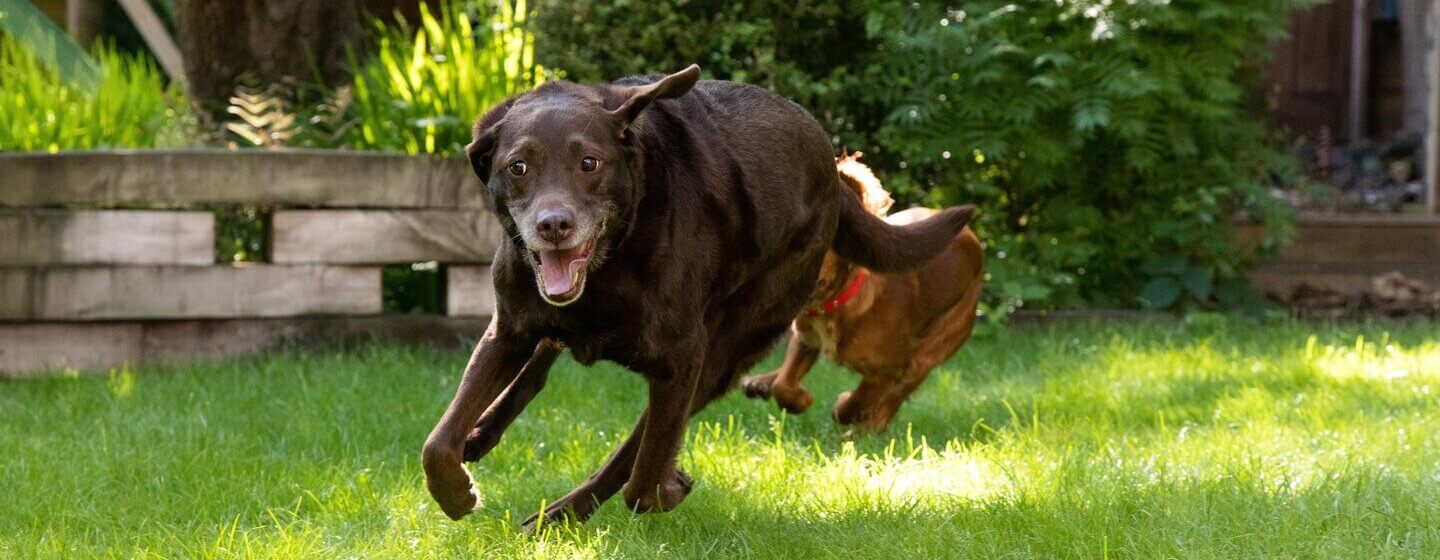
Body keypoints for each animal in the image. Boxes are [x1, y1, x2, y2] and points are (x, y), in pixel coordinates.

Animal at [743, 152, 990, 431]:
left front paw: (844, 406)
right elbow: (784, 384)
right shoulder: (804, 338)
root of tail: (971, 236)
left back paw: (866, 429)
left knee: (893, 400)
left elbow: (857, 402)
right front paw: (794, 397)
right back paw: (761, 381)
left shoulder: (888, 369)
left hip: (932, 349)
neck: (832, 305)